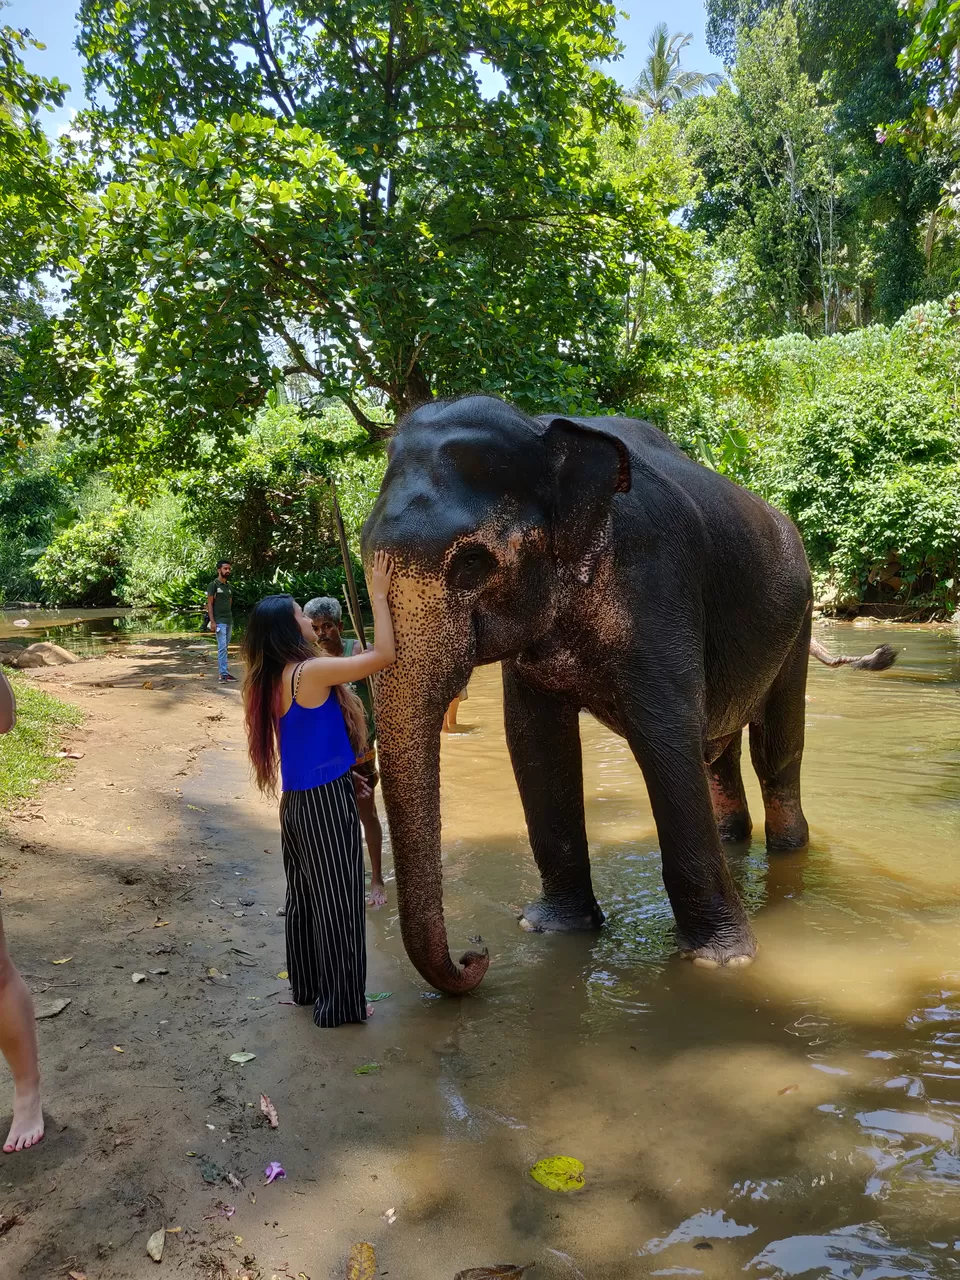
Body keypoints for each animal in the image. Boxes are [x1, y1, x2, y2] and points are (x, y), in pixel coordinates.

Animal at [360, 395, 889, 995]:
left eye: (473, 563)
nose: (475, 954)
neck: (540, 431)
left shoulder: (658, 584)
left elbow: (665, 736)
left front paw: (722, 963)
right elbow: (535, 743)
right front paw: (549, 929)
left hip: (799, 621)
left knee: (773, 749)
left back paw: (787, 852)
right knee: (718, 748)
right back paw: (732, 840)